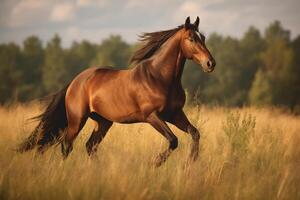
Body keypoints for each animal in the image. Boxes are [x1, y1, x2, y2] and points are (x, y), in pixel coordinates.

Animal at [17, 16, 216, 167]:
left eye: (203, 37)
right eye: (191, 38)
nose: (210, 63)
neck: (160, 78)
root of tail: (75, 82)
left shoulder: (175, 114)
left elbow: (195, 133)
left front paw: (191, 162)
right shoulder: (152, 116)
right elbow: (173, 140)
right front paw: (156, 162)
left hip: (103, 122)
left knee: (90, 146)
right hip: (77, 120)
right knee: (67, 145)